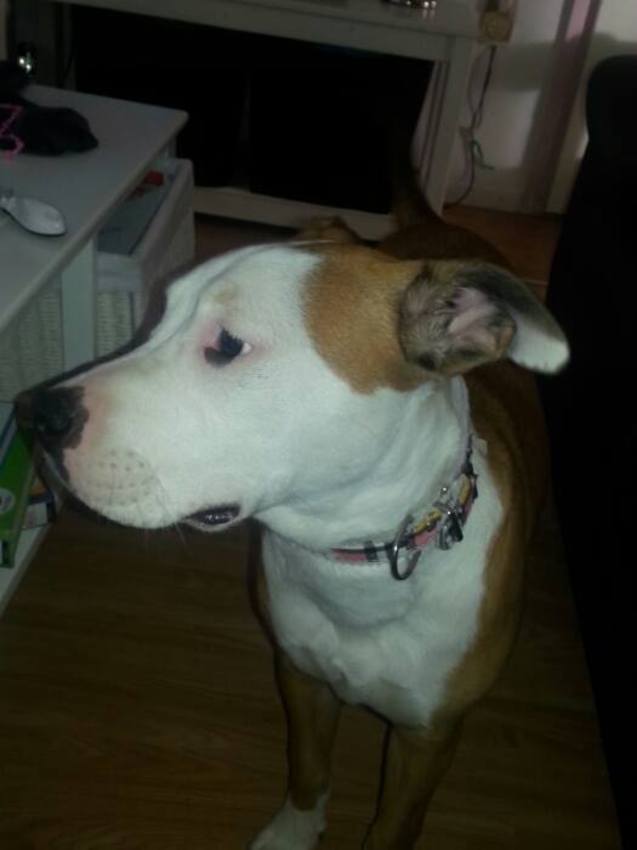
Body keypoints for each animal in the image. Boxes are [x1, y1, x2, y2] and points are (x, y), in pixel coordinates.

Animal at [17, 197, 568, 849]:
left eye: (229, 344)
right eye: (157, 316)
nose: (37, 414)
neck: (359, 560)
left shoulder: (427, 740)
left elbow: (392, 824)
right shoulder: (302, 680)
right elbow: (307, 765)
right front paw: (295, 831)